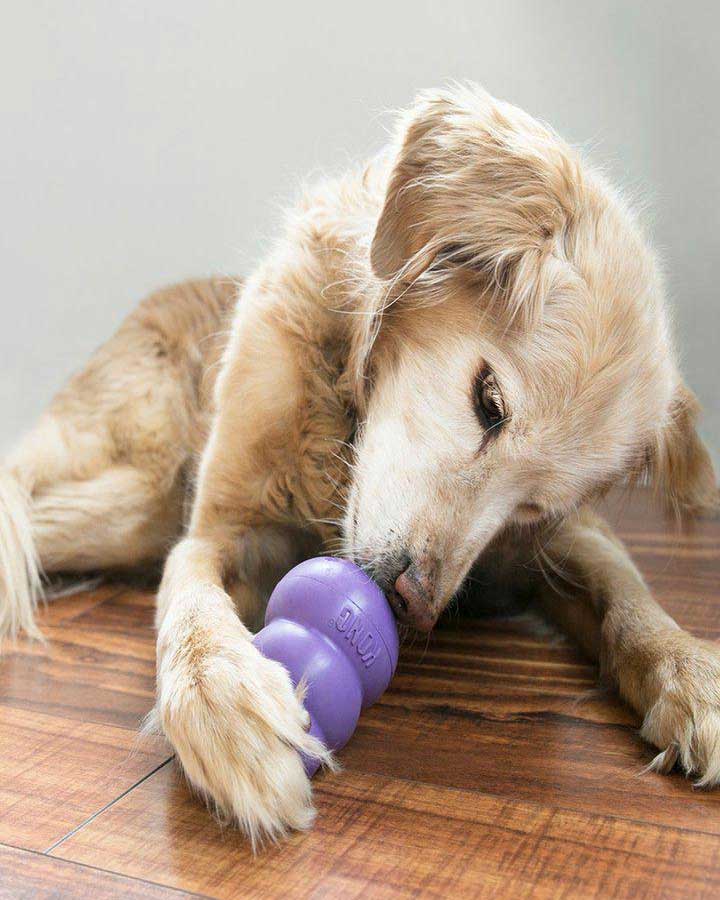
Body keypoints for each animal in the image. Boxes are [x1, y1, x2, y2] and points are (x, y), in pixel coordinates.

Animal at [1, 84, 720, 844]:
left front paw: (690, 672)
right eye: (489, 402)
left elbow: (627, 596)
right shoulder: (219, 528)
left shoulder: (555, 541)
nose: (415, 606)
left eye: (534, 504)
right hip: (137, 499)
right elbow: (191, 604)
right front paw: (226, 702)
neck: (346, 408)